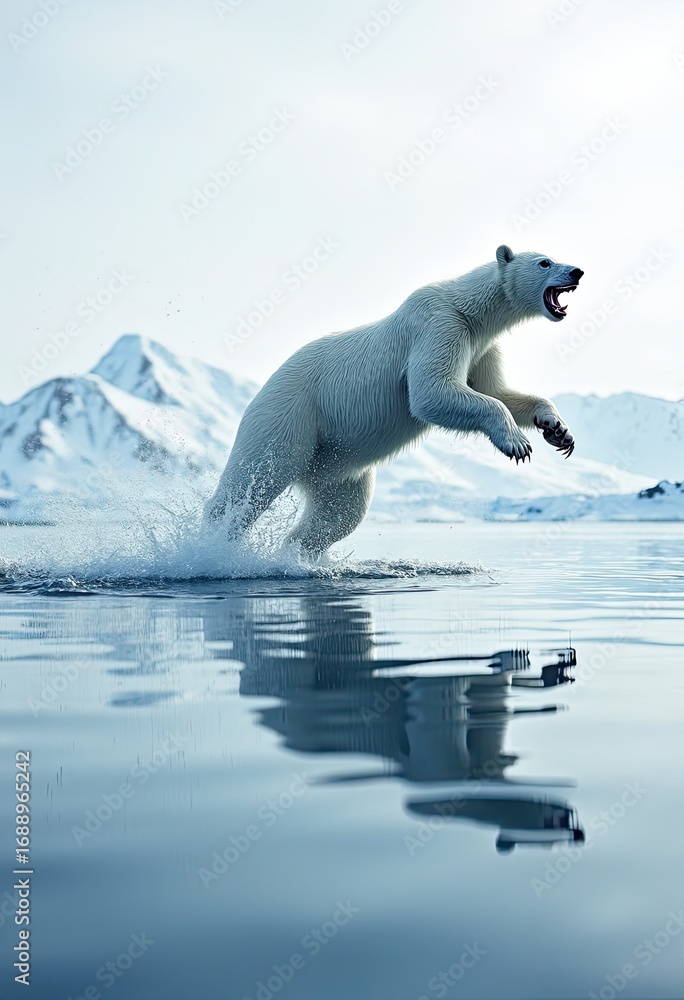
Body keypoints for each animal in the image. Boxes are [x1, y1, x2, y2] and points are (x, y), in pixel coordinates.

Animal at [205, 244, 584, 552]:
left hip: (337, 464)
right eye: (545, 262)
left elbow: (497, 389)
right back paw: (214, 546)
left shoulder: (482, 348)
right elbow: (431, 392)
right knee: (256, 478)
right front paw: (517, 443)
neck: (473, 312)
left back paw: (297, 554)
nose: (577, 271)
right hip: (289, 415)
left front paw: (558, 429)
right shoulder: (439, 326)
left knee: (338, 515)